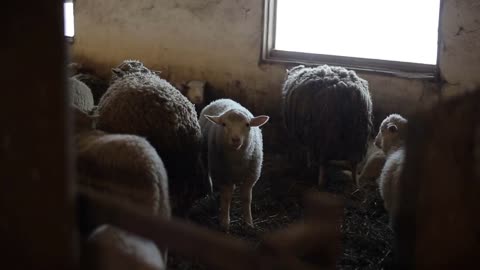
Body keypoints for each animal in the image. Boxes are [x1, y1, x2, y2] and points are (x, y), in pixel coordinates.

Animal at [197, 98, 268, 230]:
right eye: (224, 124)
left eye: (247, 124)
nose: (235, 140)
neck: (236, 160)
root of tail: (222, 99)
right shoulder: (223, 177)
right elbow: (226, 198)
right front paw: (224, 223)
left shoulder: (250, 178)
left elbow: (246, 199)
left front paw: (248, 223)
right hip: (205, 159)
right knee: (208, 179)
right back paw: (211, 199)